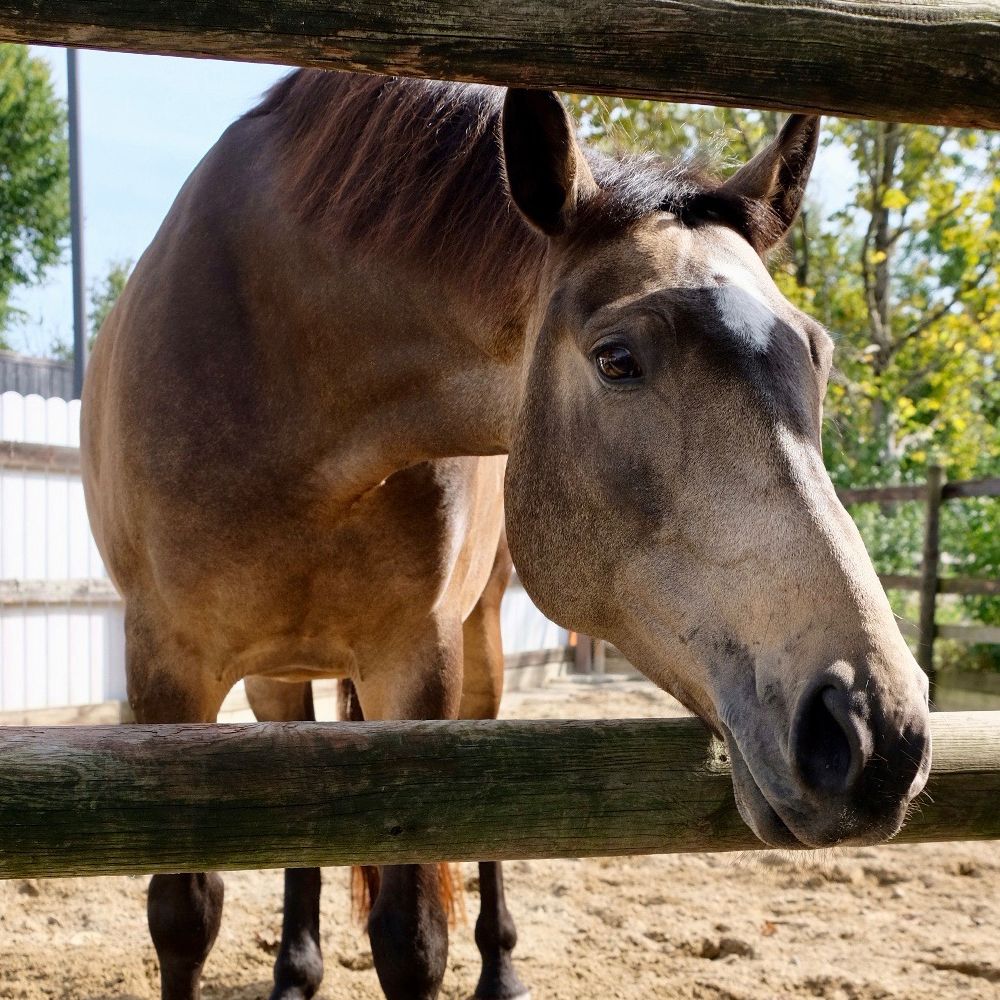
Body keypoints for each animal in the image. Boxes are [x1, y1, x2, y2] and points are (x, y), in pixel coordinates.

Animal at [82, 70, 932, 1000]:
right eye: (617, 359)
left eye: (816, 354)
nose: (874, 731)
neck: (280, 370)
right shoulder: (166, 665)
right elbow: (183, 917)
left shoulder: (416, 661)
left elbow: (411, 935)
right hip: (277, 673)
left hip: (476, 638)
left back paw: (498, 969)